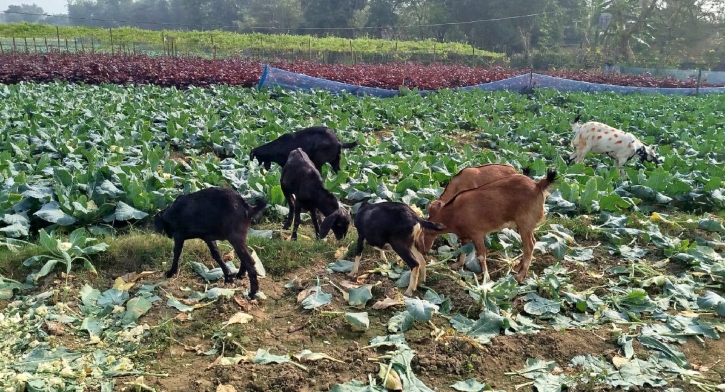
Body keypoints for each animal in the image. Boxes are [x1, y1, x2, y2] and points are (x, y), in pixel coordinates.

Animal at [422, 168, 556, 282]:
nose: (424, 253)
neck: (453, 212)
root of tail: (538, 185)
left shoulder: (476, 234)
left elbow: (481, 255)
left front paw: (485, 277)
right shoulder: (465, 235)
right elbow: (463, 249)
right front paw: (457, 265)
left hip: (525, 224)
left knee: (530, 246)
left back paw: (519, 276)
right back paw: (518, 267)